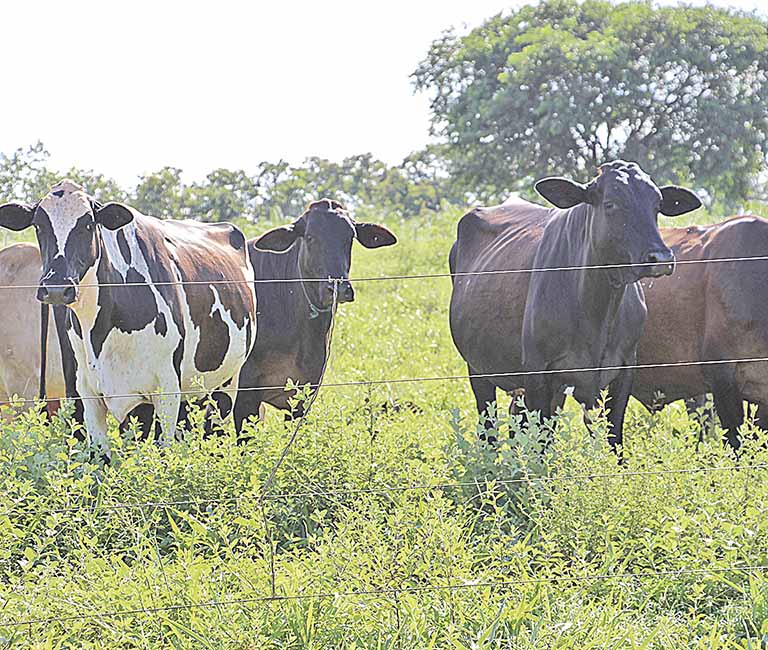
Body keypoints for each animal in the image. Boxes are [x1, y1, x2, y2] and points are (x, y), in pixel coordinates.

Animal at [0, 180, 258, 458]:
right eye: (38, 225)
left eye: (88, 224)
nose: (57, 287)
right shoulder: (89, 394)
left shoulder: (167, 391)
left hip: (226, 383)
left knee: (215, 433)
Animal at [450, 161, 704, 450]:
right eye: (610, 203)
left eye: (657, 204)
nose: (660, 257)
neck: (598, 310)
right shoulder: (538, 373)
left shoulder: (624, 369)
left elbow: (613, 438)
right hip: (478, 370)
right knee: (489, 429)